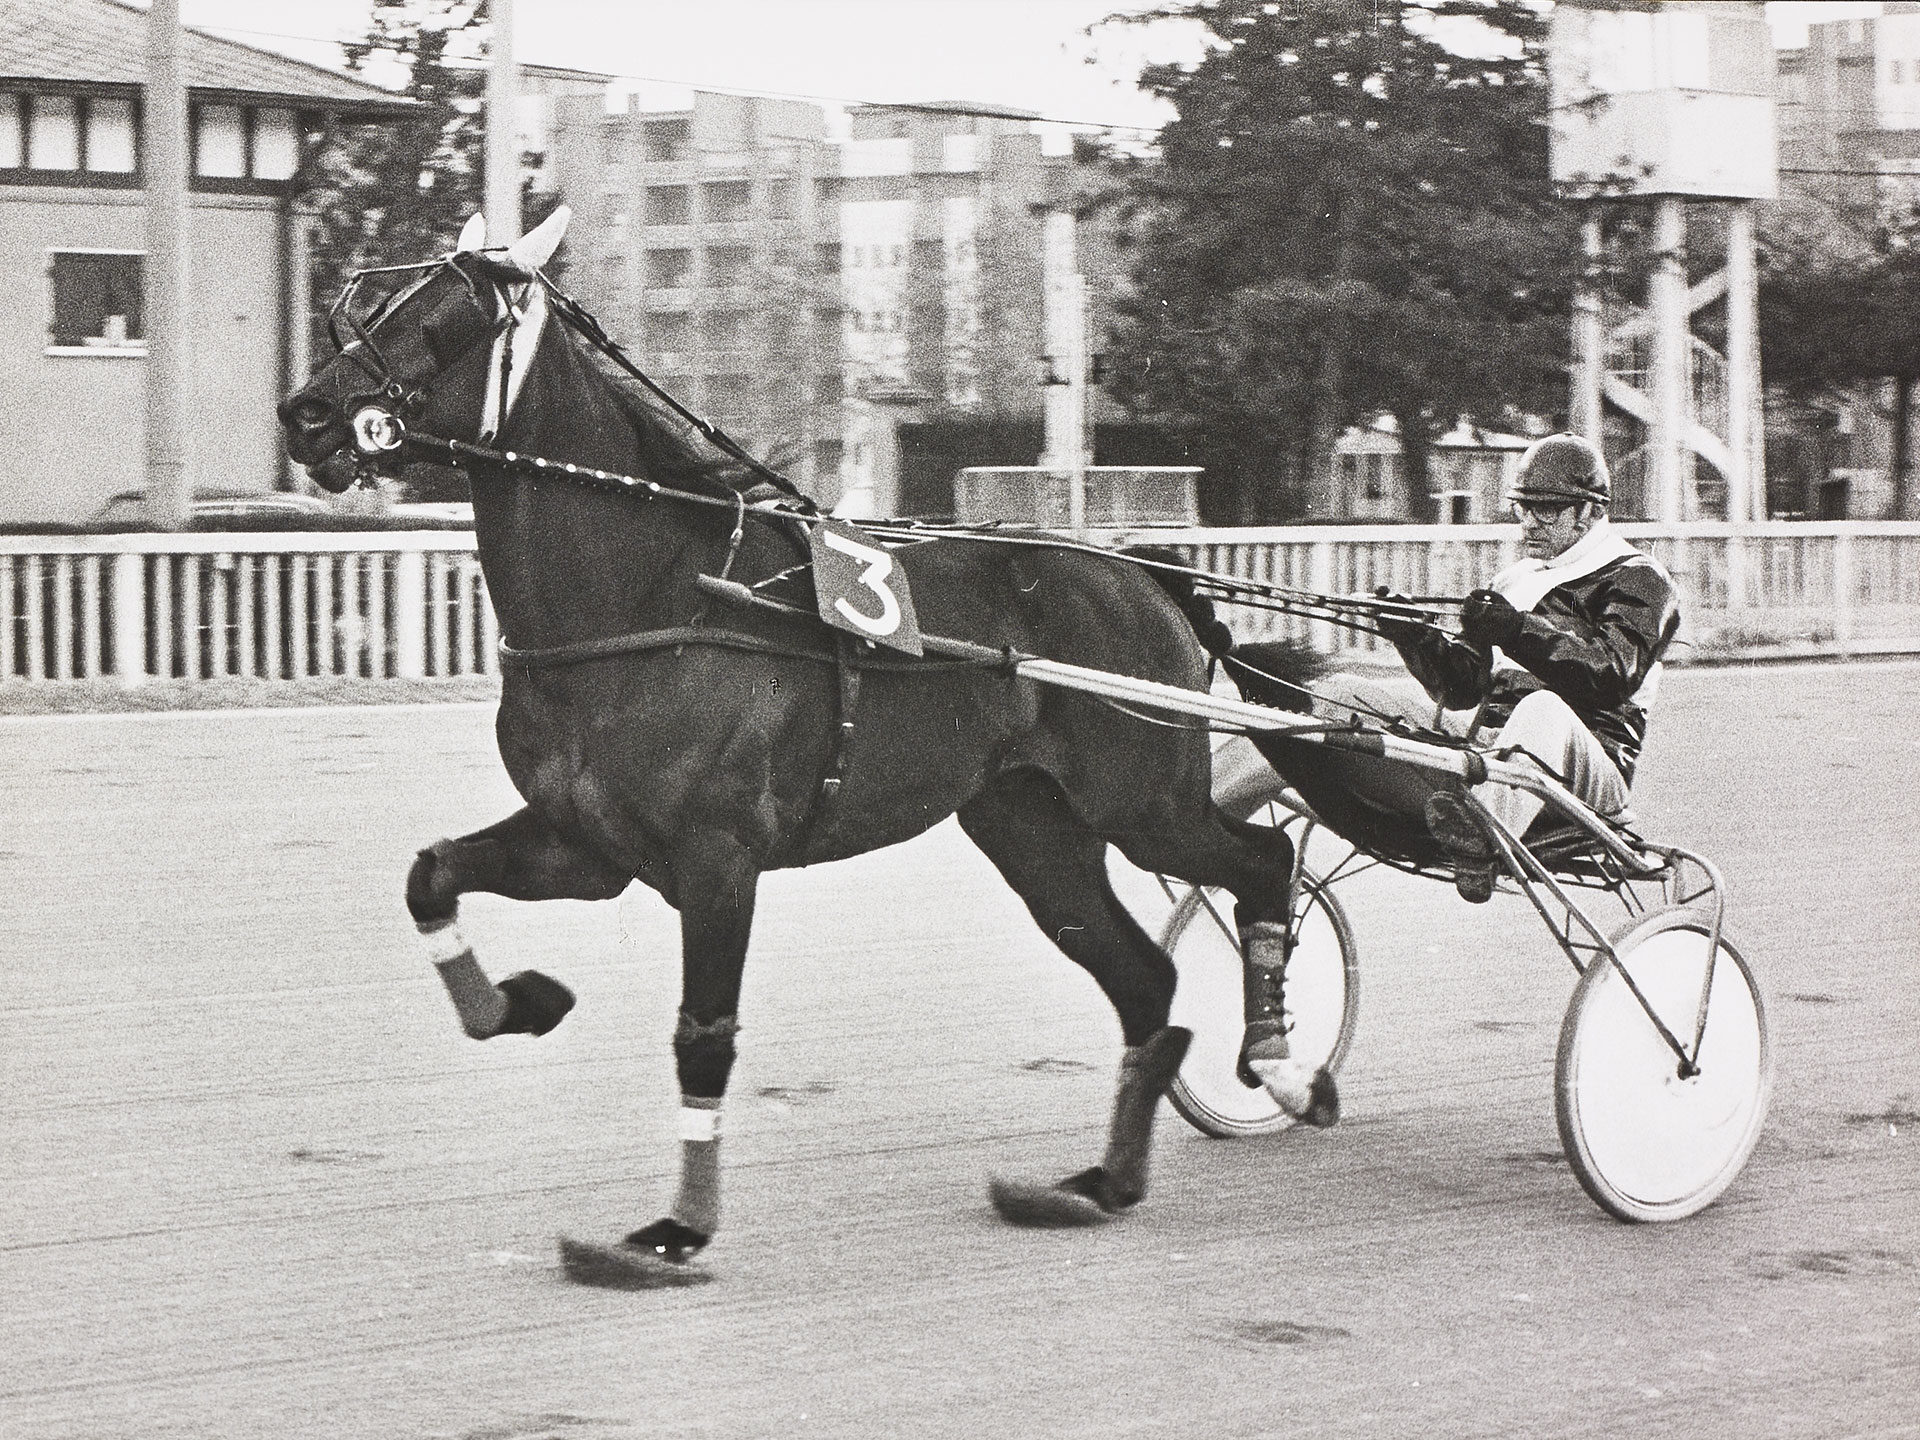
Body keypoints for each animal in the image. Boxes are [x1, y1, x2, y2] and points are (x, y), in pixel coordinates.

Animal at [284, 211, 1328, 1282]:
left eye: (444, 316)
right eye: (362, 307)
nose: (307, 415)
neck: (654, 593)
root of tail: (1146, 574)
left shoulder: (717, 857)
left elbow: (703, 1037)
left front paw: (675, 1229)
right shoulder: (588, 845)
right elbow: (433, 874)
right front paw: (518, 1002)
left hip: (1143, 798)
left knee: (1261, 861)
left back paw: (1282, 1067)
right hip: (1030, 824)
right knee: (1142, 975)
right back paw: (1100, 1182)